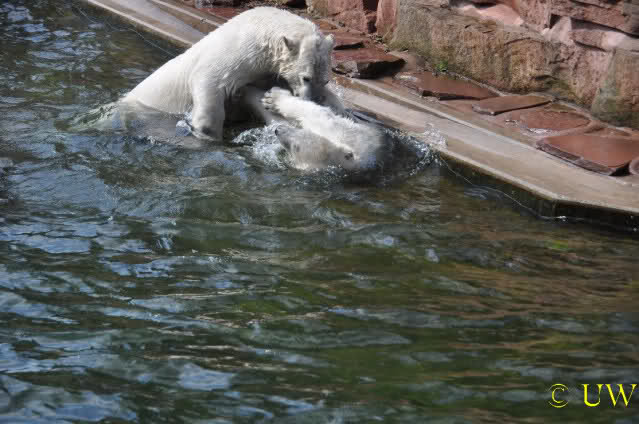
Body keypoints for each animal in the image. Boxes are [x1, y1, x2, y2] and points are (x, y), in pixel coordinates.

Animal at [121, 7, 346, 142]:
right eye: (305, 78)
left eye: (325, 80)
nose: (314, 100)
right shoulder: (235, 56)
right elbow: (209, 80)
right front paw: (207, 131)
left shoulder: (265, 71)